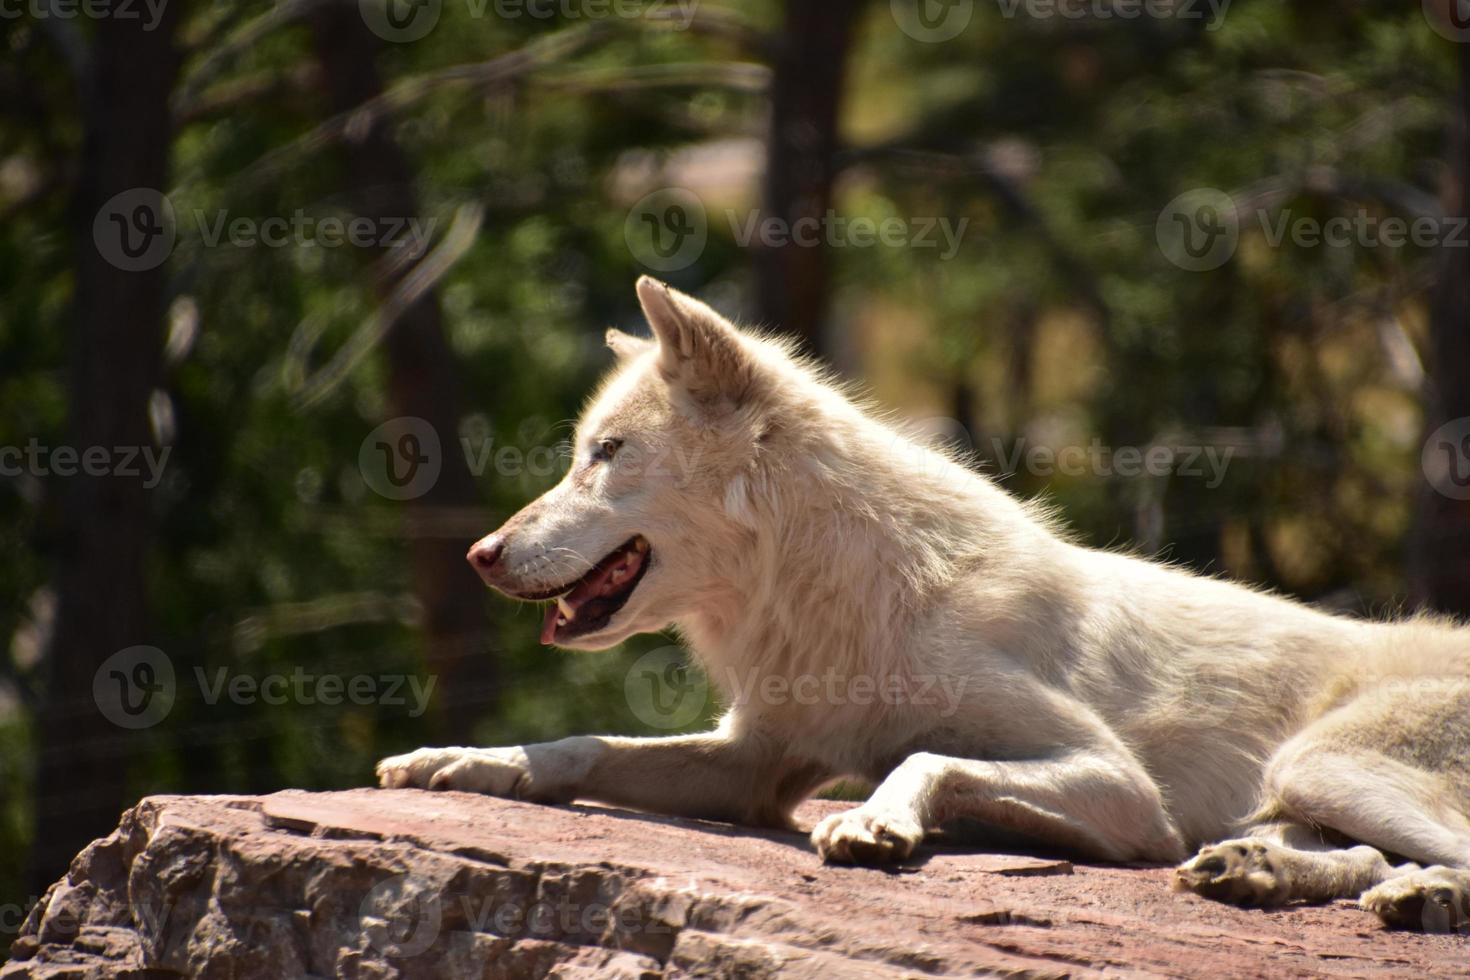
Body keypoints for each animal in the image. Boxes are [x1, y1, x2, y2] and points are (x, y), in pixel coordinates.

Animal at [382, 277, 1470, 934]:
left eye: (603, 453)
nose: (479, 552)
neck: (834, 593)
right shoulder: (756, 763)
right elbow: (581, 746)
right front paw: (460, 762)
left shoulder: (1126, 793)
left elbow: (923, 756)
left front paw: (873, 825)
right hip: (1299, 791)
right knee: (1343, 856)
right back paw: (1257, 872)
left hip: (1318, 762)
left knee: (1422, 854)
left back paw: (1418, 892)